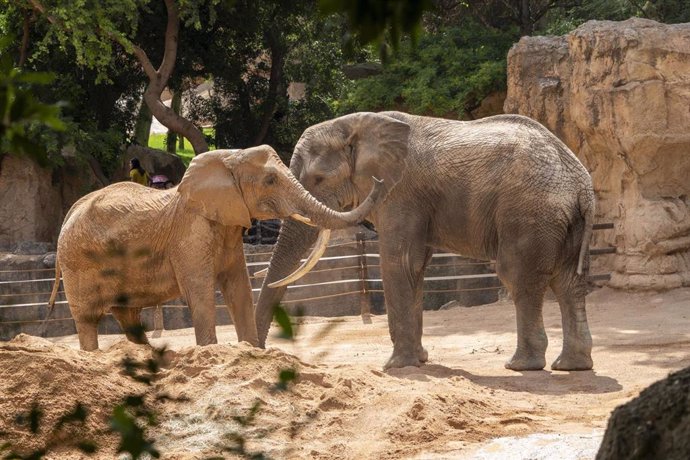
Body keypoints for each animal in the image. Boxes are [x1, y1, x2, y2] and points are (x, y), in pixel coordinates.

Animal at [49, 146, 384, 350]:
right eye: (270, 180)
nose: (378, 179)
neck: (228, 158)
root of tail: (69, 213)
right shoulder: (191, 232)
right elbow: (200, 290)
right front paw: (212, 350)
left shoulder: (228, 227)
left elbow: (239, 287)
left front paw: (250, 350)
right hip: (78, 263)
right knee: (88, 319)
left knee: (128, 316)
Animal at [255, 113, 592, 372]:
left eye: (318, 180)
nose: (259, 349)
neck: (356, 123)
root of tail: (581, 183)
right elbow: (415, 267)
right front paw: (419, 361)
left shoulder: (401, 193)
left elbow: (399, 263)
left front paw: (396, 367)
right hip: (563, 221)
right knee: (568, 282)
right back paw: (571, 366)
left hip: (530, 213)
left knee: (519, 277)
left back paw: (521, 365)